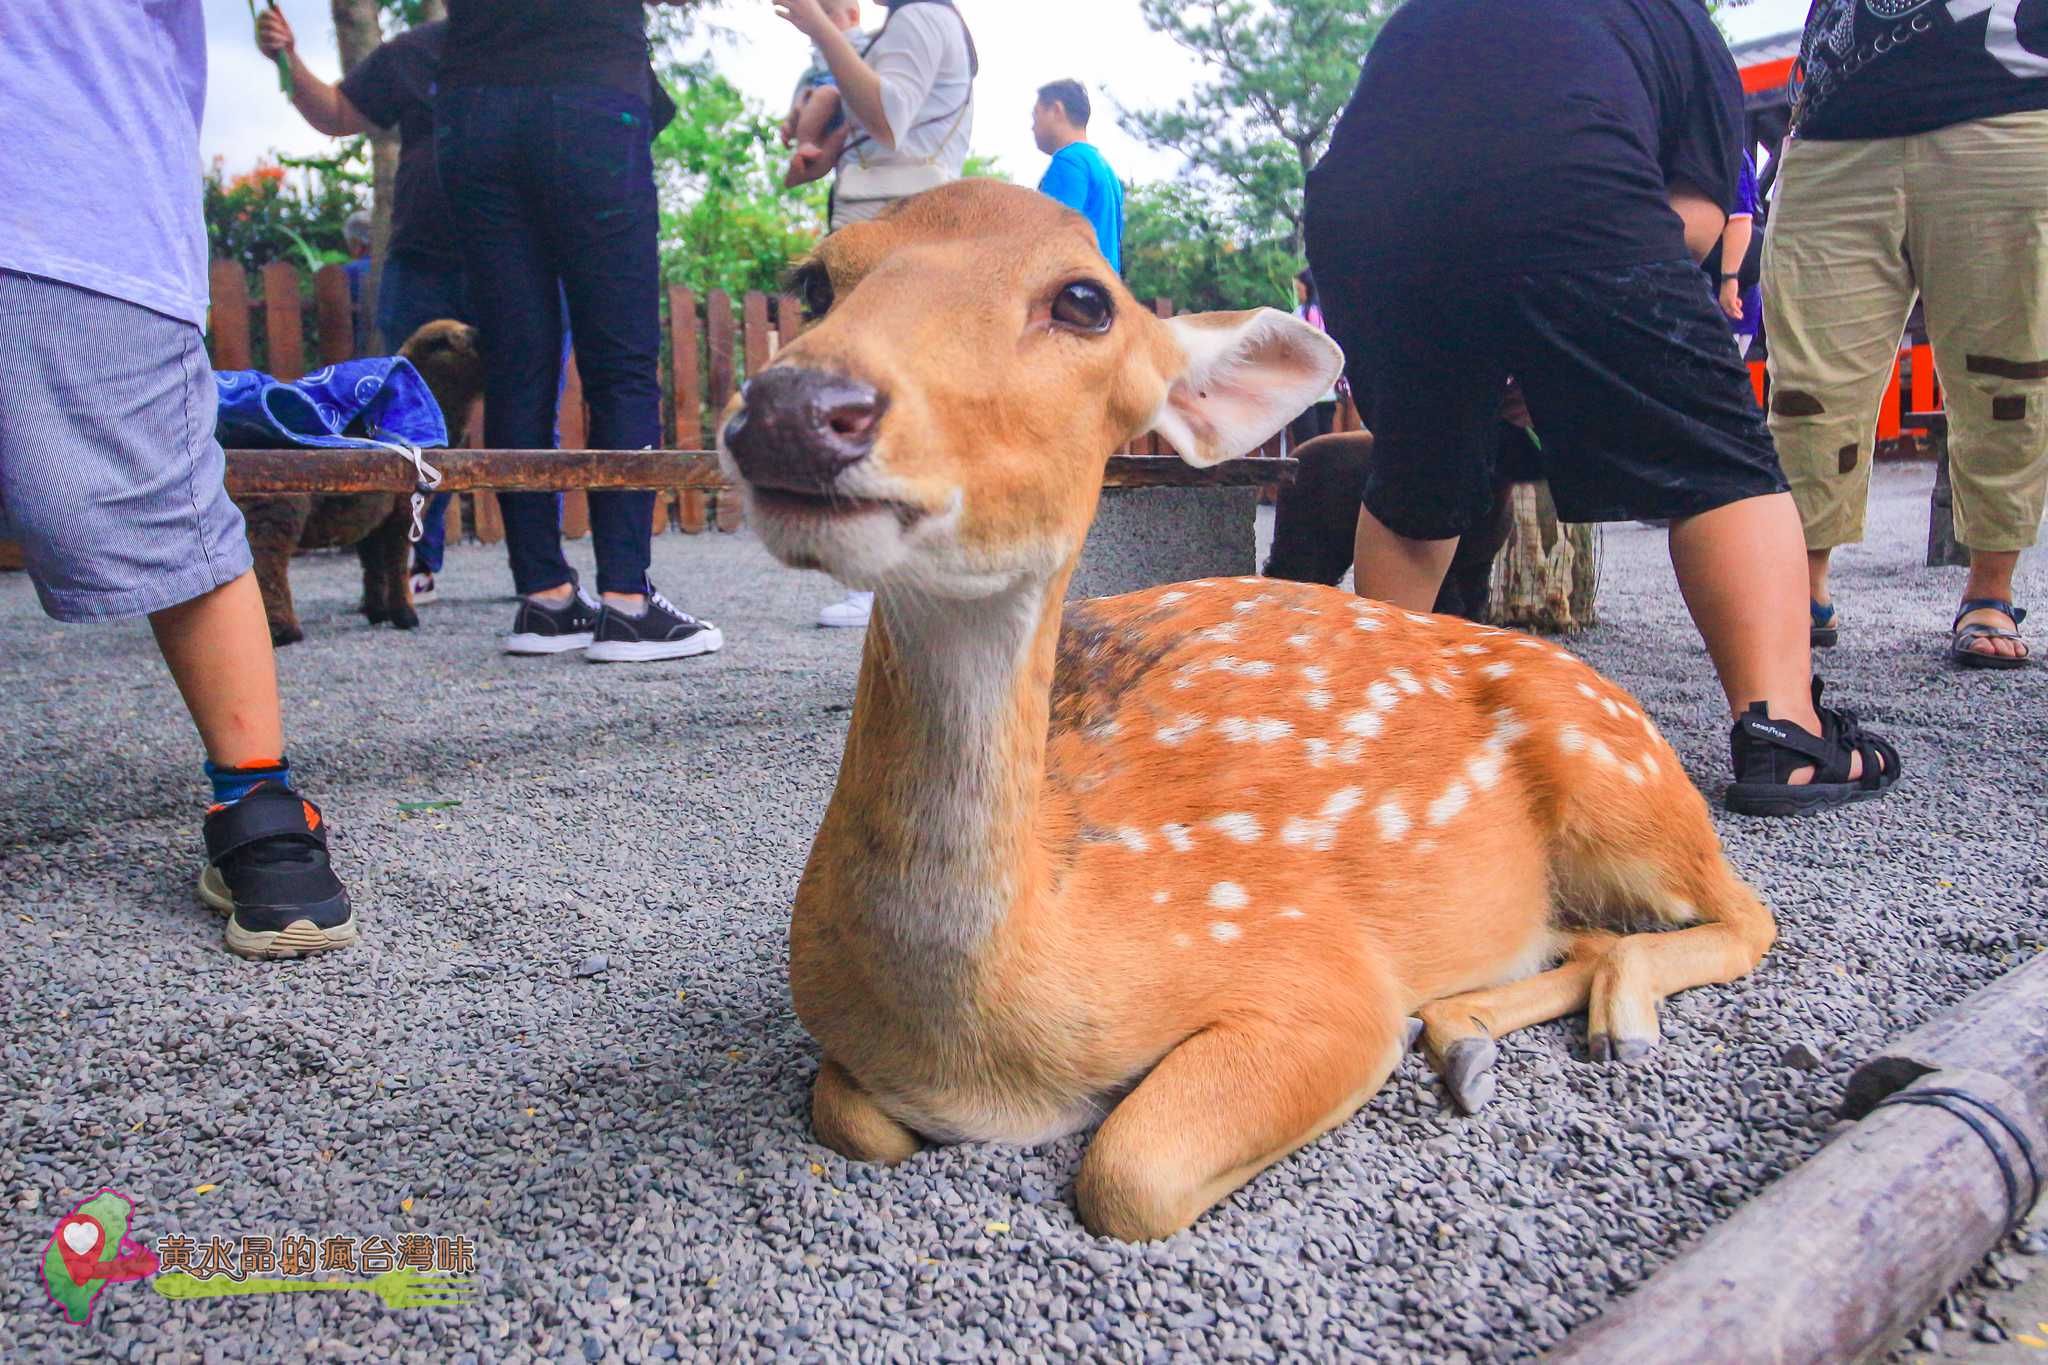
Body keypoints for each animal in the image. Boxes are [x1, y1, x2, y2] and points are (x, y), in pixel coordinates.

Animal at [720, 179, 1777, 1236]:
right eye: (816, 280)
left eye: (1085, 300)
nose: (793, 408)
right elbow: (850, 1115)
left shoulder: (1311, 965)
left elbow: (1130, 1171)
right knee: (1592, 933)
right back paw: (1466, 1034)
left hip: (1619, 778)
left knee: (1743, 913)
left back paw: (1616, 1023)